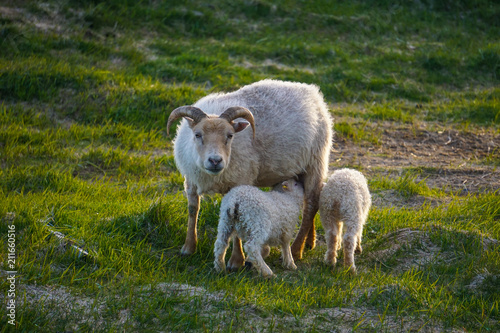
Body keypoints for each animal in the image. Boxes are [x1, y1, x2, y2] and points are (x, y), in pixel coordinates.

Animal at [166, 78, 334, 268]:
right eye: (197, 134)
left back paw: (297, 249)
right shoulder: (191, 180)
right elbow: (193, 210)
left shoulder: (240, 180)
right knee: (311, 200)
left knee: (311, 204)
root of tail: (311, 91)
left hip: (315, 161)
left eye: (230, 135)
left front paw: (236, 260)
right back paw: (310, 242)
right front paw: (188, 247)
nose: (215, 161)